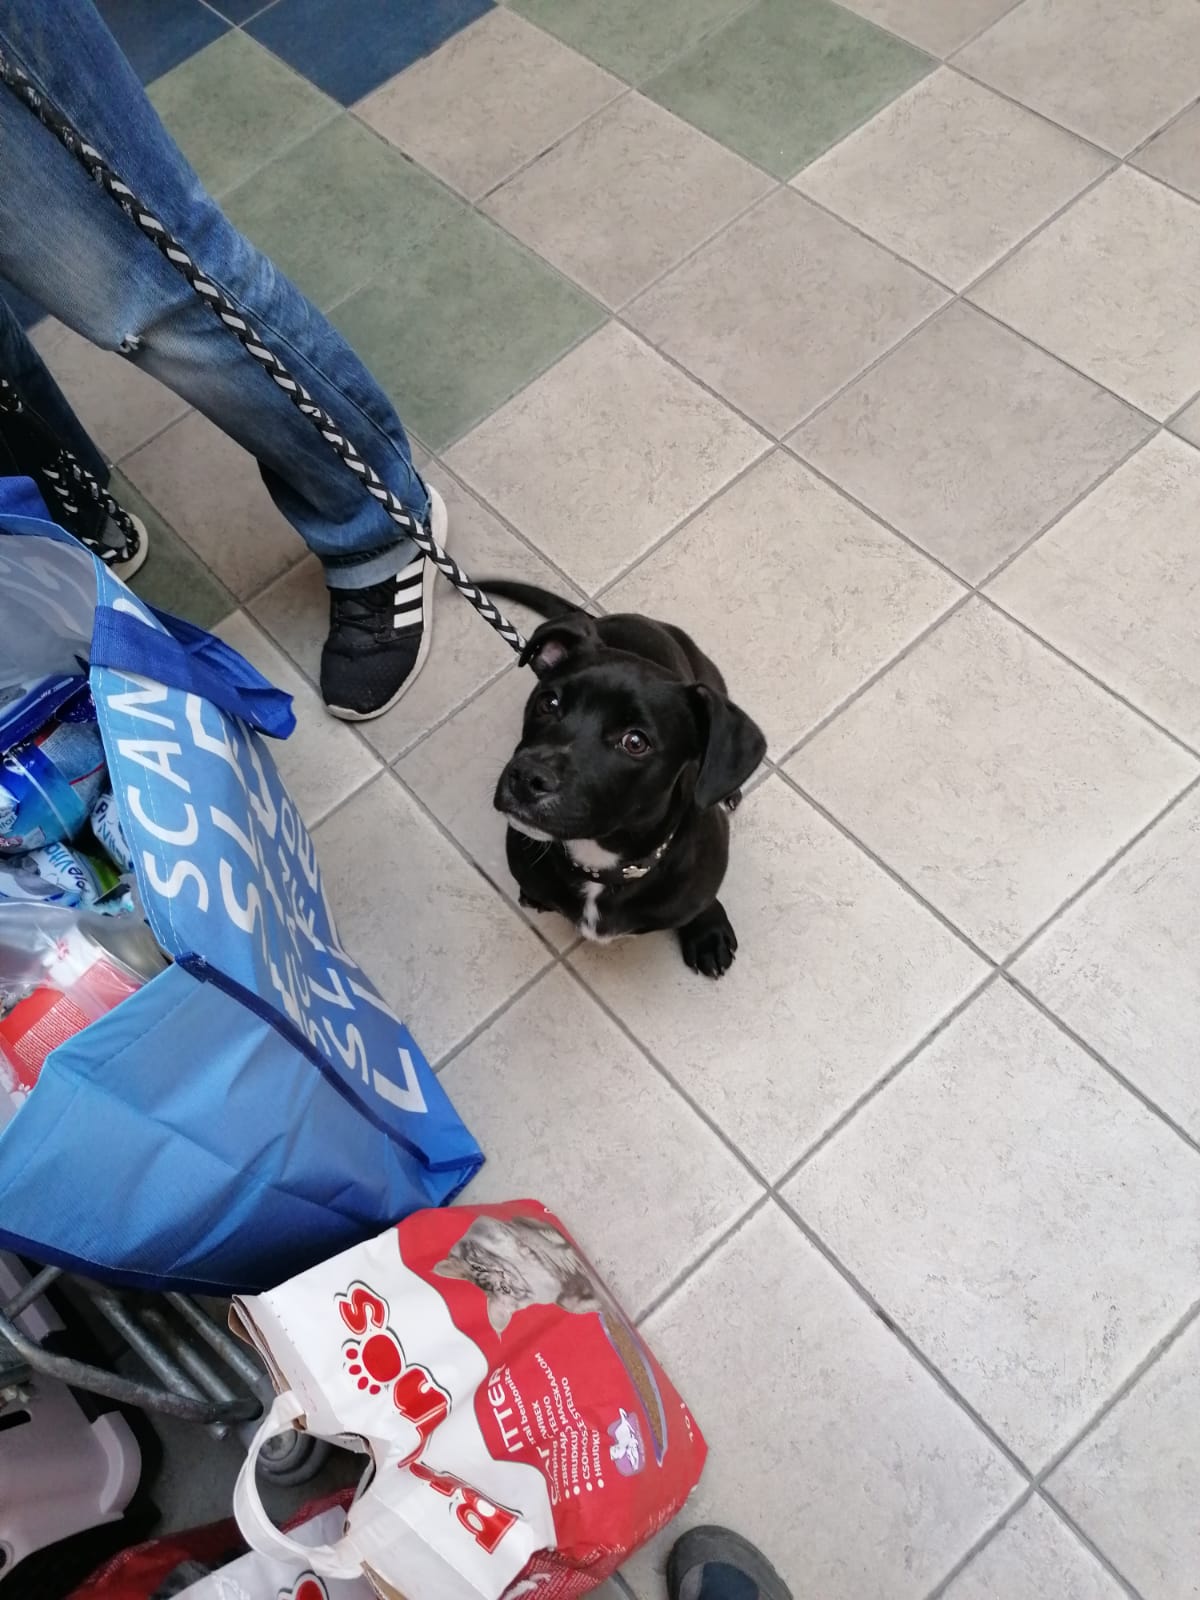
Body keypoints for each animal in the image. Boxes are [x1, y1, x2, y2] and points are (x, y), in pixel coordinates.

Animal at [482, 580, 766, 978]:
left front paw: (707, 931)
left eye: (635, 742)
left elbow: (703, 900)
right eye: (548, 703)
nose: (526, 778)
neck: (600, 866)